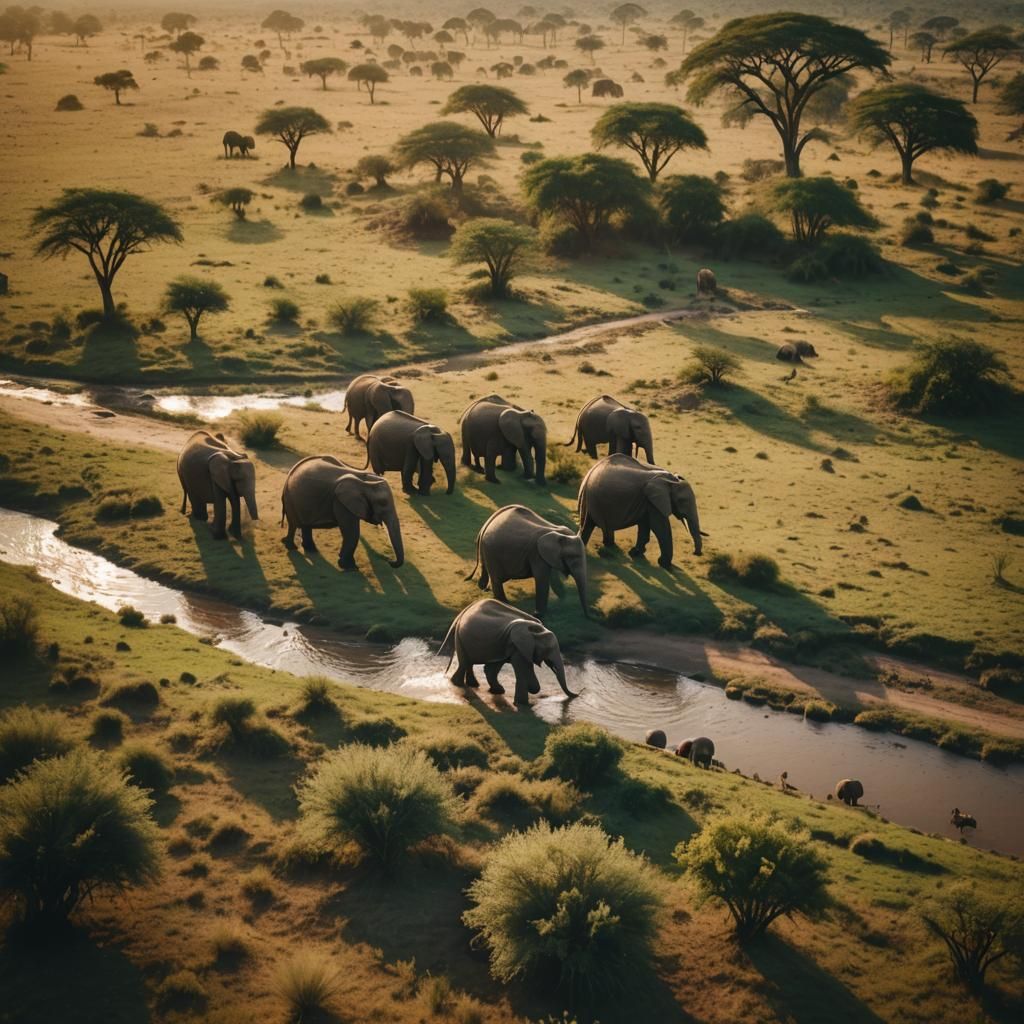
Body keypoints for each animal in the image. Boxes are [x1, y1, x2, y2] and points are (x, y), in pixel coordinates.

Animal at [439, 598, 577, 705]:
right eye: (548, 650)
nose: (578, 694)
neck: (536, 629)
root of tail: (463, 612)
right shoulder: (518, 648)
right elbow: (522, 670)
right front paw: (522, 703)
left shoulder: (512, 646)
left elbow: (494, 668)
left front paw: (502, 692)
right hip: (461, 637)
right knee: (464, 663)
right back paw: (457, 684)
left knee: (473, 663)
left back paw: (477, 686)